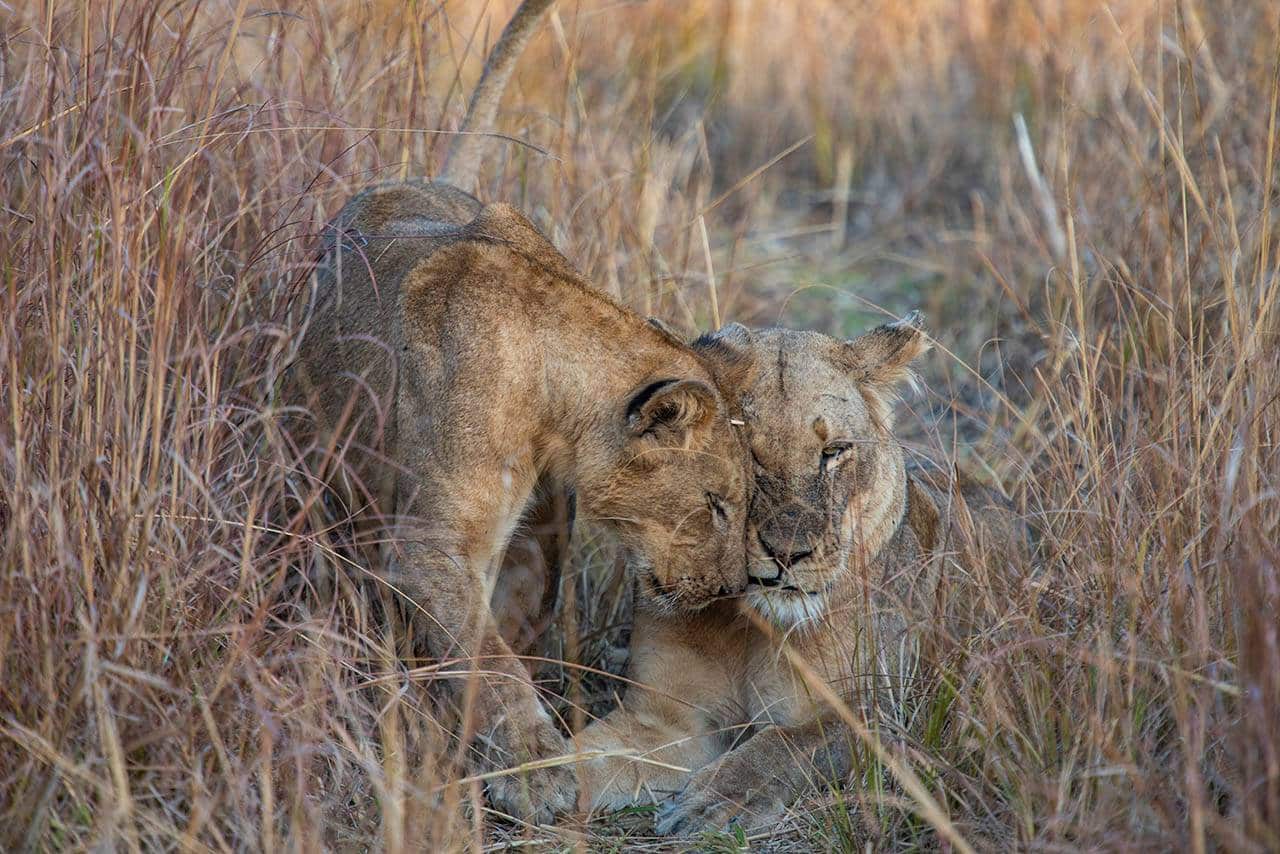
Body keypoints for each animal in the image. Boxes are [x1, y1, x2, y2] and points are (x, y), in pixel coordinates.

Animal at [291, 0, 750, 822]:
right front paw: (537, 773)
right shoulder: (427, 543)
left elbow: (505, 636)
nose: (730, 591)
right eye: (716, 505)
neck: (550, 398)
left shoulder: (539, 536)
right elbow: (486, 659)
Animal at [571, 314, 1028, 833]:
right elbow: (583, 754)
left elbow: (787, 745)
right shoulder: (665, 717)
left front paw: (711, 802)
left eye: (834, 451)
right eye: (743, 452)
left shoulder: (887, 713)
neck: (748, 624)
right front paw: (530, 780)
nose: (789, 554)